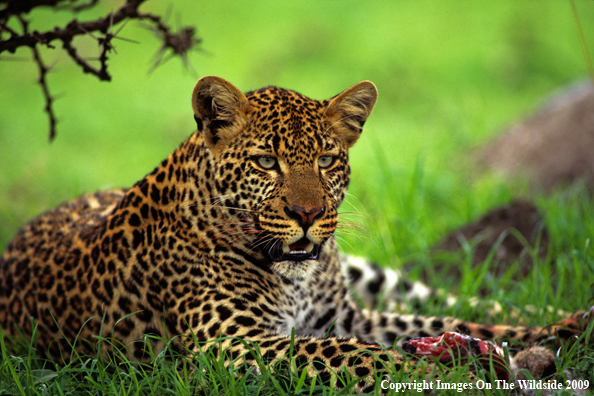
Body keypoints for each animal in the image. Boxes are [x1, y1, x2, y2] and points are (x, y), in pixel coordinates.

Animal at [1, 76, 588, 392]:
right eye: (266, 162)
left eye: (327, 160)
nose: (308, 214)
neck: (293, 276)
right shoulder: (233, 344)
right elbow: (355, 353)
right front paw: (447, 377)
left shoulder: (346, 316)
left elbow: (447, 321)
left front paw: (521, 342)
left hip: (365, 273)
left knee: (444, 296)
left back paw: (570, 320)